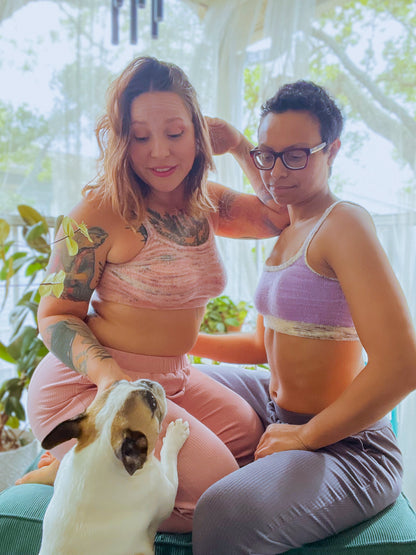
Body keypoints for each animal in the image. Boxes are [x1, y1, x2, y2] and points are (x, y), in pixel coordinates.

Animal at [37, 378, 190, 555]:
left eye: (119, 382)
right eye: (152, 402)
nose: (147, 381)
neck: (100, 448)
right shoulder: (168, 493)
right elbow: (168, 456)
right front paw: (176, 434)